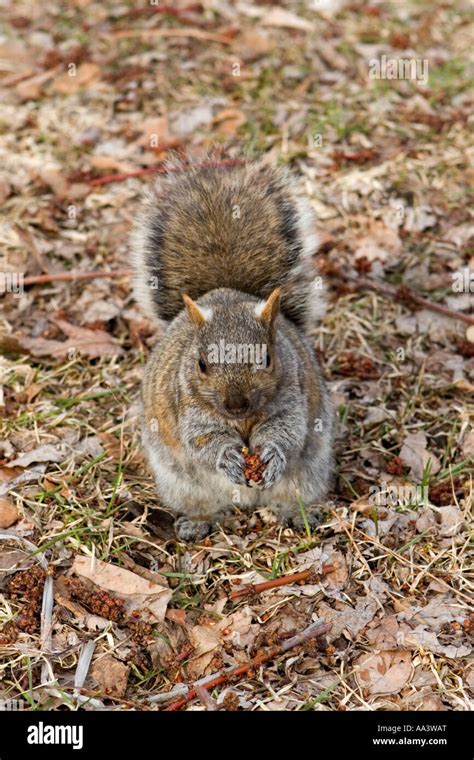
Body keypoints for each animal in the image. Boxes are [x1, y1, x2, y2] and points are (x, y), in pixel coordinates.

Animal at [131, 159, 336, 540]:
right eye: (201, 364)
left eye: (267, 358)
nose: (235, 404)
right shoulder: (188, 409)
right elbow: (203, 441)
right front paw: (226, 457)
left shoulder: (292, 397)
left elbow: (287, 430)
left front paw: (272, 455)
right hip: (181, 482)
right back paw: (198, 522)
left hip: (308, 473)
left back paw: (296, 514)